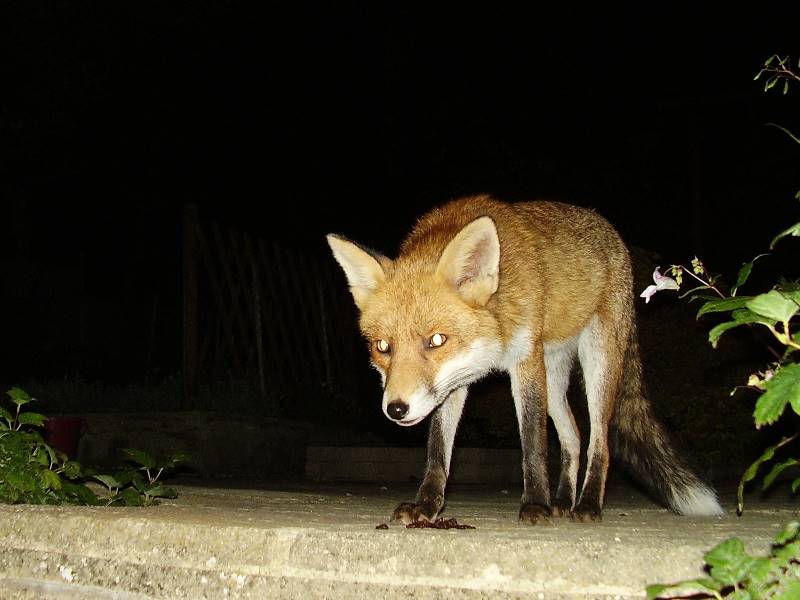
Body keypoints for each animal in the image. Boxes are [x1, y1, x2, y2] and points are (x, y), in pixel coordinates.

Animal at [326, 195, 723, 524]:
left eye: (436, 340)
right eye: (383, 347)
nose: (396, 409)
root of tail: (609, 229)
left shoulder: (525, 362)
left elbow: (532, 442)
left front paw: (535, 504)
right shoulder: (454, 384)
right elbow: (437, 451)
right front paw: (427, 506)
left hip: (597, 362)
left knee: (600, 441)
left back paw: (586, 504)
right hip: (555, 379)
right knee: (573, 437)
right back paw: (562, 500)